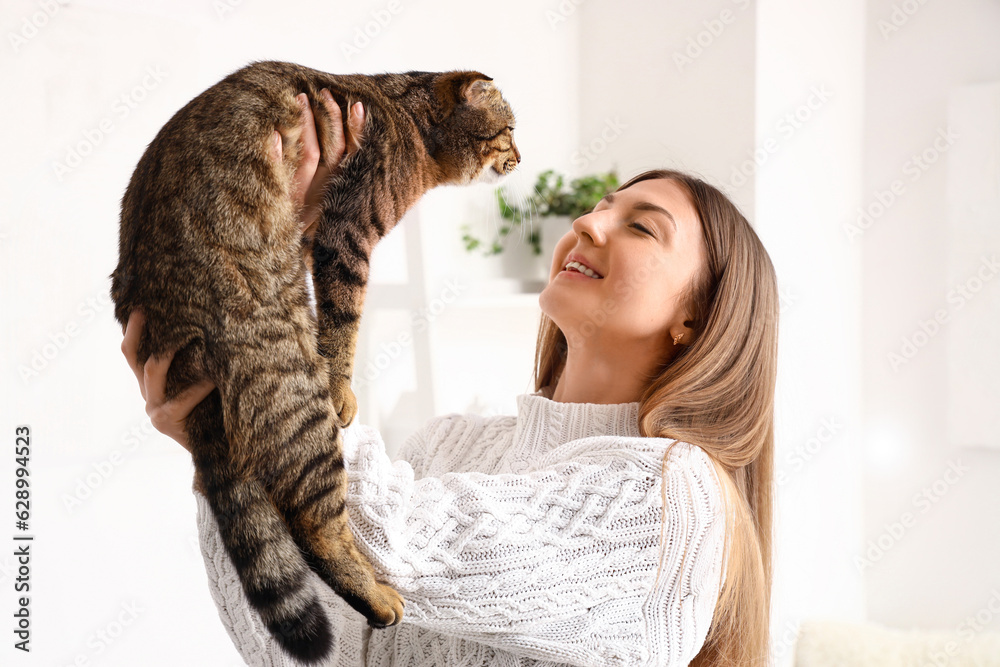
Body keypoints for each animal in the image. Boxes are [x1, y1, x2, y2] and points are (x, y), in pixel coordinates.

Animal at [111, 61, 524, 664]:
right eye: (509, 130)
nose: (521, 157)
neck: (410, 124)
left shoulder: (313, 236)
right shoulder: (345, 233)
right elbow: (342, 323)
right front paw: (343, 386)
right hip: (295, 387)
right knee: (313, 524)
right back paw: (376, 596)